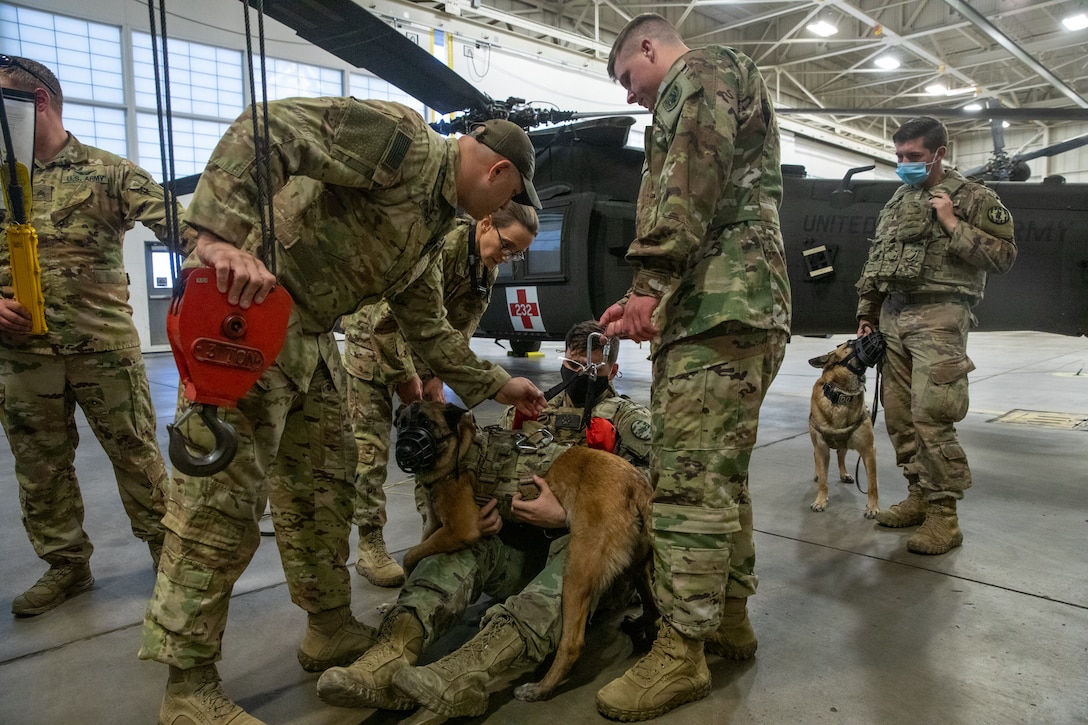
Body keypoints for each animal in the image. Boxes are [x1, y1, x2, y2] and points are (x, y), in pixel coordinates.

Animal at [398, 400, 657, 701]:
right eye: (400, 423)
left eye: (426, 422)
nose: (404, 449)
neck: (462, 450)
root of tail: (636, 482)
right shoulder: (436, 525)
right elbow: (417, 548)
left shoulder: (460, 529)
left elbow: (410, 556)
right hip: (636, 566)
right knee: (653, 606)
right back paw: (641, 625)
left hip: (577, 574)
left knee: (572, 642)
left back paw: (541, 688)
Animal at [809, 341, 874, 515]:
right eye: (850, 343)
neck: (842, 396)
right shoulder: (821, 448)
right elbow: (823, 482)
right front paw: (820, 501)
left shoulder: (868, 451)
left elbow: (873, 484)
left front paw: (873, 507)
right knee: (818, 458)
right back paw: (818, 473)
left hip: (845, 444)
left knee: (840, 455)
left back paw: (844, 474)